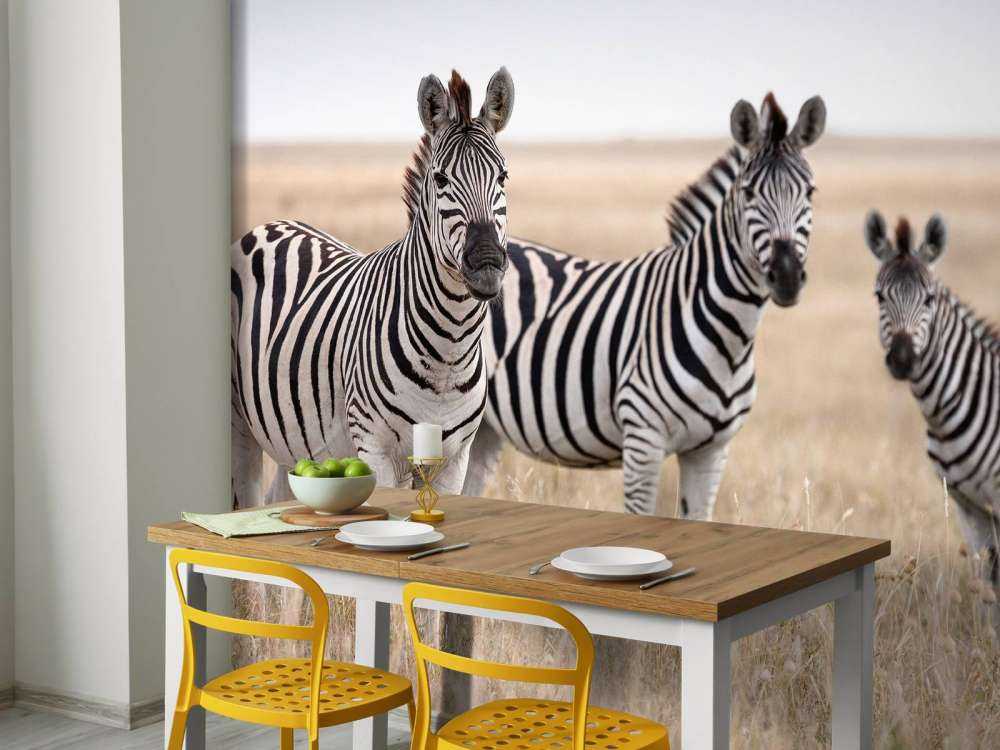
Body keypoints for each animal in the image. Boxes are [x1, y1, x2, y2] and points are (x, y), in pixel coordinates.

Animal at [231, 68, 515, 507]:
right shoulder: (375, 449)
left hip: (289, 441)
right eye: (440, 178)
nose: (486, 266)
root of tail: (271, 223)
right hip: (239, 426)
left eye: (502, 176)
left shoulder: (455, 460)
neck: (448, 352)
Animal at [462, 93, 826, 519]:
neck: (730, 335)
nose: (786, 276)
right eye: (749, 193)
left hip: (485, 428)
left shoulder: (711, 451)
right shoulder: (643, 438)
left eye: (810, 192)